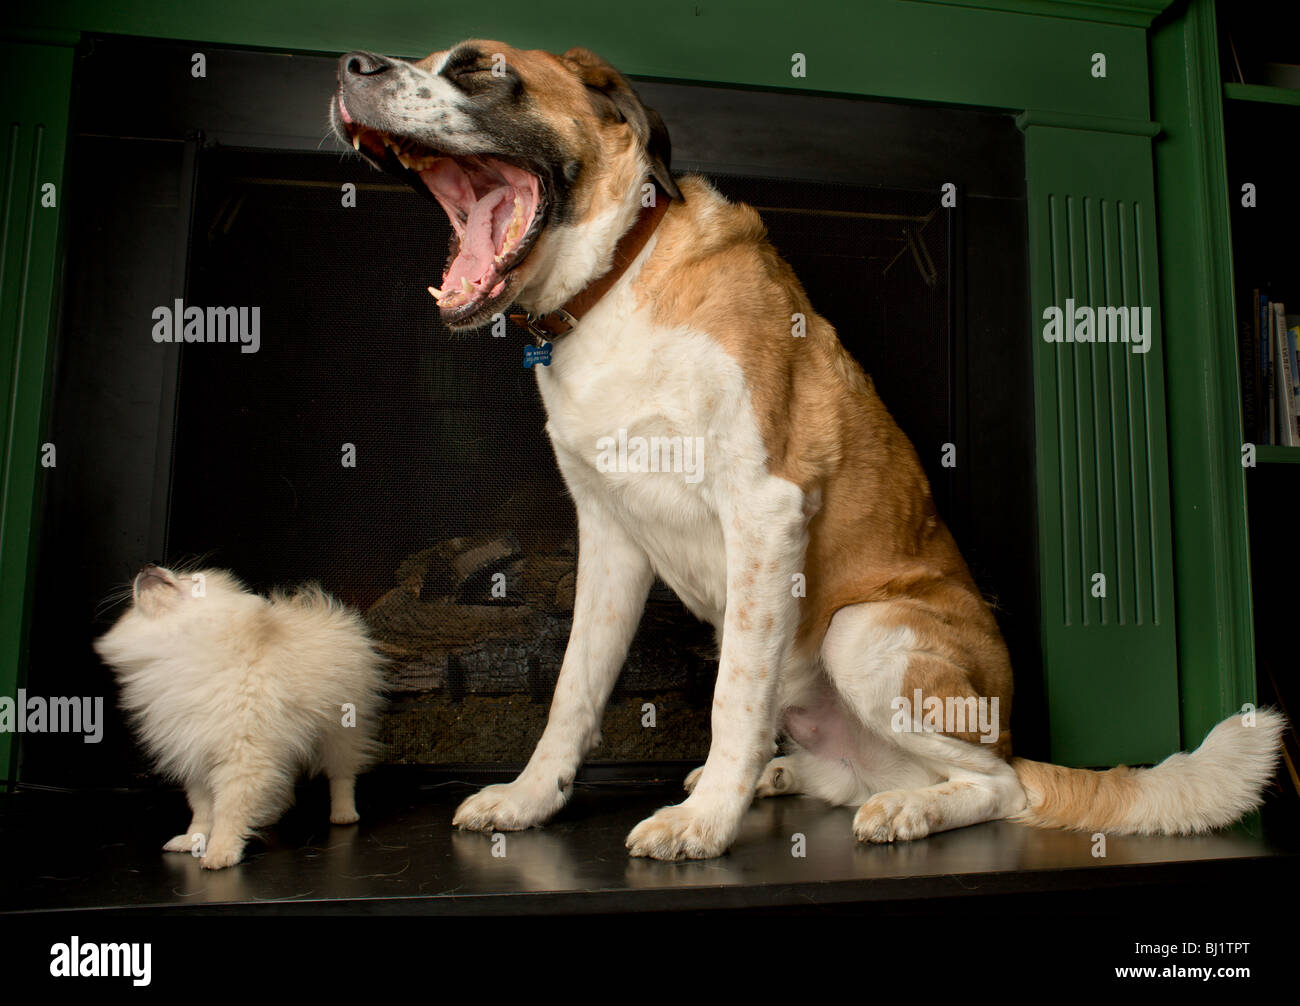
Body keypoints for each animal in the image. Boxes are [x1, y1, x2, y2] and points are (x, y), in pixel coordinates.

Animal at [94, 564, 382, 868]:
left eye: (191, 580)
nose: (148, 567)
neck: (181, 648)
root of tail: (324, 610)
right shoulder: (196, 755)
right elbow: (202, 809)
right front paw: (193, 839)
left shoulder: (241, 756)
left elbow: (228, 809)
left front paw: (221, 850)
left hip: (340, 731)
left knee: (342, 774)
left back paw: (343, 812)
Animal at [330, 37, 1284, 857]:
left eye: (478, 67)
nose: (350, 66)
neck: (617, 282)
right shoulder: (607, 540)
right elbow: (572, 690)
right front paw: (532, 799)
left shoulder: (763, 511)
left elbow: (730, 700)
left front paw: (705, 825)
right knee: (857, 773)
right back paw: (790, 777)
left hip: (864, 633)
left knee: (1000, 785)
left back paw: (898, 808)